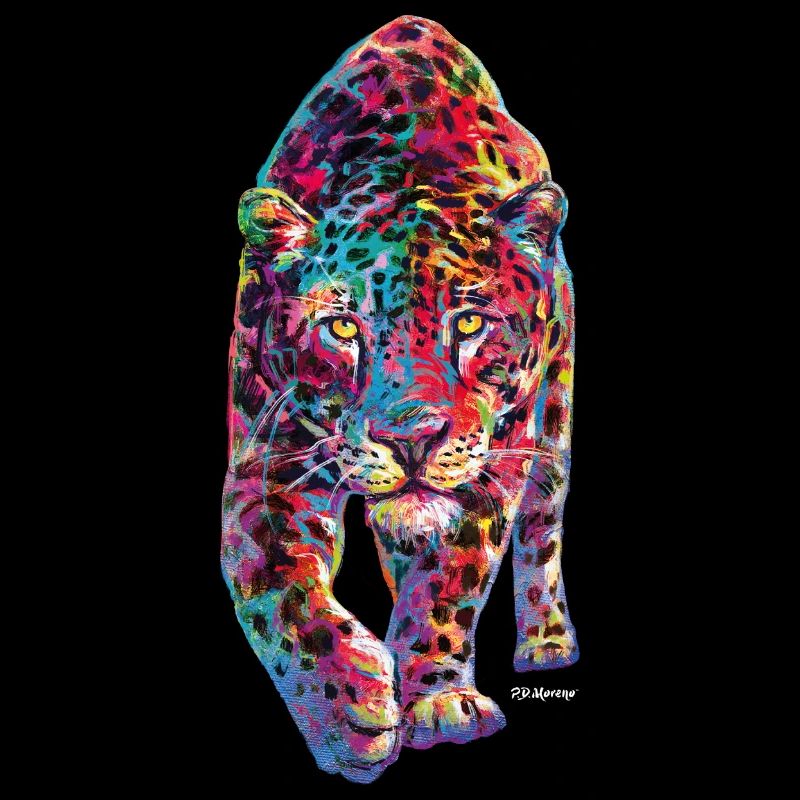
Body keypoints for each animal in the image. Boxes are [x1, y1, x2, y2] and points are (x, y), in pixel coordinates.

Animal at [221, 15, 579, 783]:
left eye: (469, 323)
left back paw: (546, 642)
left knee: (543, 531)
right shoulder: (266, 464)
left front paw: (437, 701)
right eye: (343, 327)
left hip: (554, 425)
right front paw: (350, 710)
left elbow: (451, 577)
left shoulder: (494, 462)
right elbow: (274, 590)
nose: (411, 437)